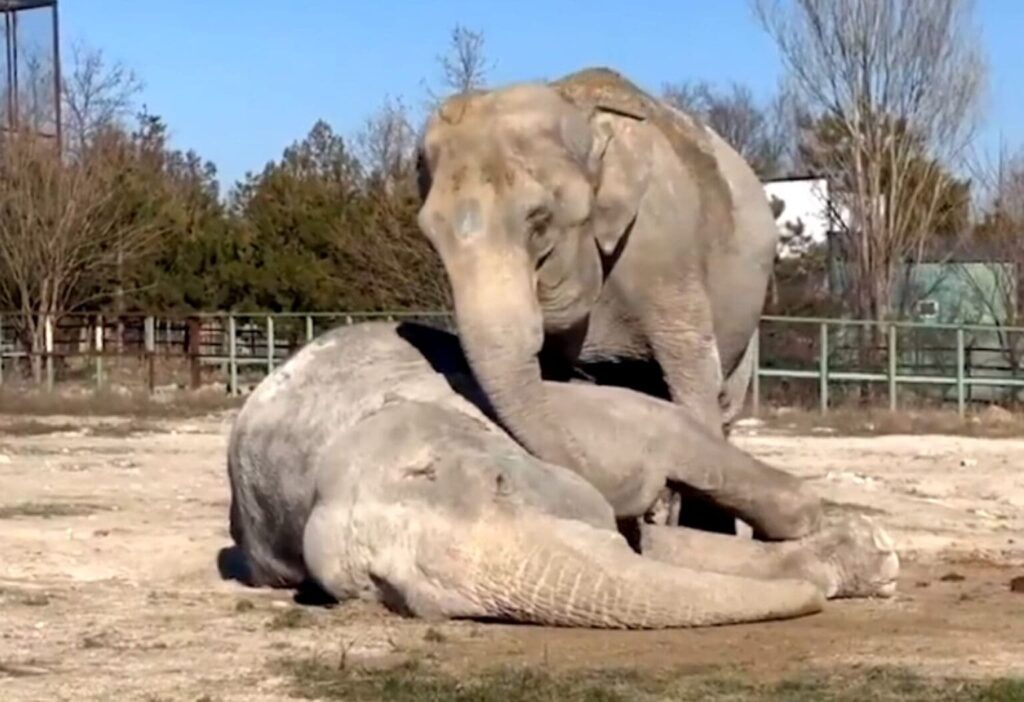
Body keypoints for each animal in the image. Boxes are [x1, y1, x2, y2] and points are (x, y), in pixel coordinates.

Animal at [226, 321, 899, 610]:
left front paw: (865, 549)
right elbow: (643, 551)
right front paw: (858, 561)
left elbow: (656, 449)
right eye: (389, 592)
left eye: (501, 484)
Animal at [414, 67, 780, 506]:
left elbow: (693, 377)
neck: (577, 111)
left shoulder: (663, 245)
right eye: (430, 237)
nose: (651, 489)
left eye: (539, 222)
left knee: (723, 404)